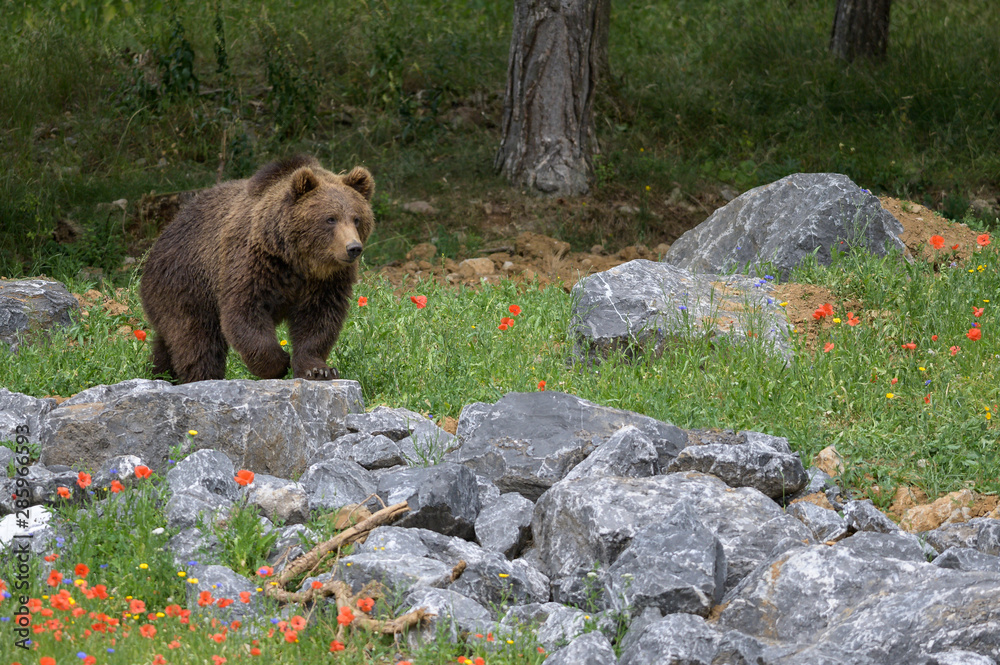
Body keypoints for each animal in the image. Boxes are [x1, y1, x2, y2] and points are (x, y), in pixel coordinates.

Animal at [139, 155, 375, 384]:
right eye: (330, 219)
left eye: (357, 218)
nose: (353, 248)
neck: (298, 260)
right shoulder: (253, 262)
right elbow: (245, 312)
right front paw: (279, 363)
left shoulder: (327, 281)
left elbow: (318, 320)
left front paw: (318, 370)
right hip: (186, 284)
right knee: (196, 339)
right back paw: (202, 377)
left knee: (167, 343)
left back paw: (159, 372)